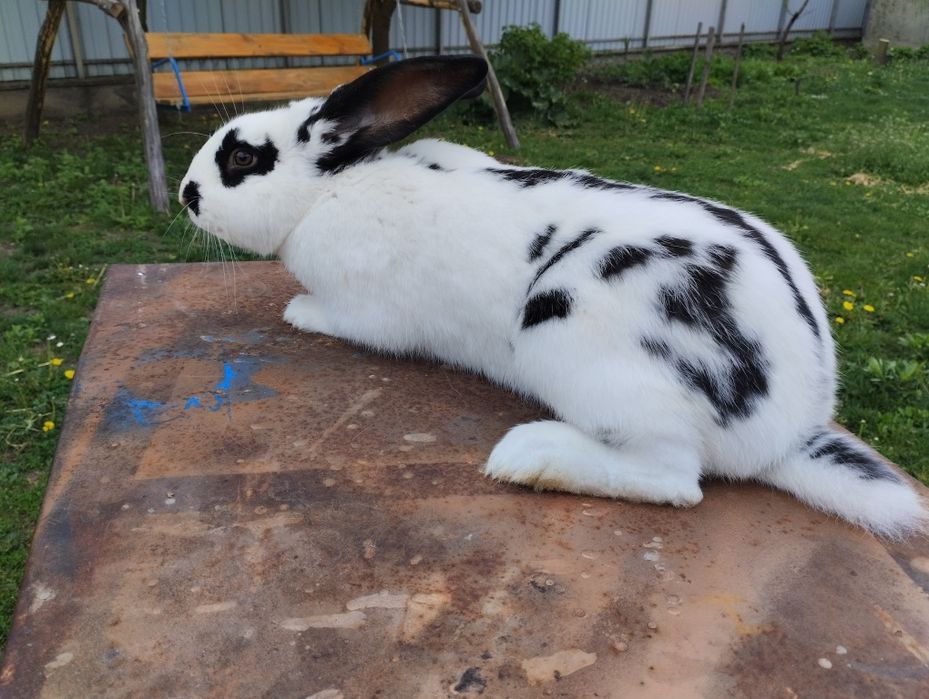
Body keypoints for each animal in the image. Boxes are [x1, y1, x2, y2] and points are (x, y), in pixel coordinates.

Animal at [179, 55, 927, 538]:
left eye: (241, 158)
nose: (186, 194)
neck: (326, 192)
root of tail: (788, 426)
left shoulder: (368, 310)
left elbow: (338, 316)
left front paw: (297, 311)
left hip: (577, 340)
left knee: (673, 479)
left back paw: (530, 458)